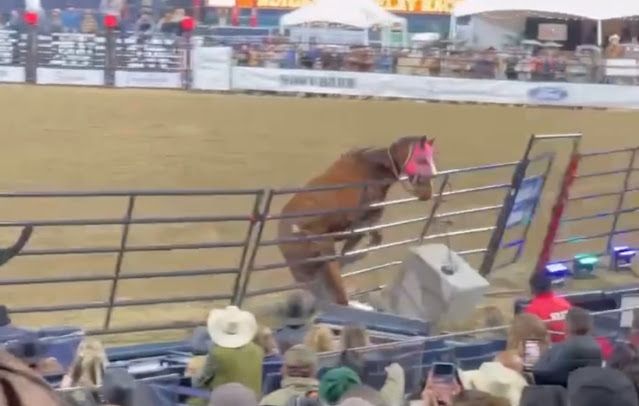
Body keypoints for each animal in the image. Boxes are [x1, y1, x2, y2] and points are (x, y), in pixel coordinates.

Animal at [278, 136, 438, 304]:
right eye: (422, 160)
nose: (427, 193)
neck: (369, 170)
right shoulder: (360, 226)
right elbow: (353, 248)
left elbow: (372, 241)